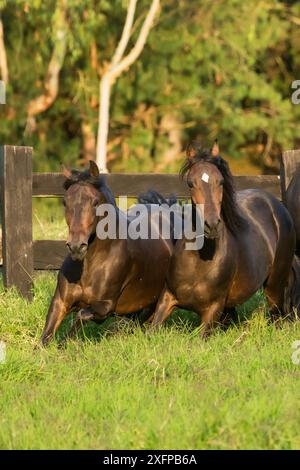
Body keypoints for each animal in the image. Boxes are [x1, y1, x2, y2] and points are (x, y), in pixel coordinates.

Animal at [41, 162, 175, 346]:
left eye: (95, 202)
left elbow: (81, 315)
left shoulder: (106, 306)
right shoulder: (60, 301)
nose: (76, 247)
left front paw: (65, 344)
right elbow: (45, 337)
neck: (90, 264)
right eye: (64, 201)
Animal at [151, 140, 296, 334]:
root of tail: (276, 205)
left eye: (220, 182)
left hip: (274, 287)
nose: (211, 225)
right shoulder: (167, 298)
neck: (200, 260)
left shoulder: (213, 309)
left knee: (277, 317)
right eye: (190, 183)